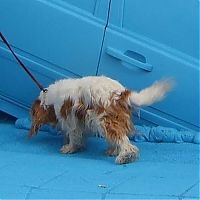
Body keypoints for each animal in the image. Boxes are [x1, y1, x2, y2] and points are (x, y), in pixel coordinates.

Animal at [29, 75, 173, 164]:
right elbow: (80, 136)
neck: (50, 97)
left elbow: (74, 136)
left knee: (124, 142)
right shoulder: (81, 120)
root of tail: (123, 93)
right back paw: (114, 151)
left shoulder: (71, 120)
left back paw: (125, 156)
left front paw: (70, 148)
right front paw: (79, 146)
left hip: (105, 120)